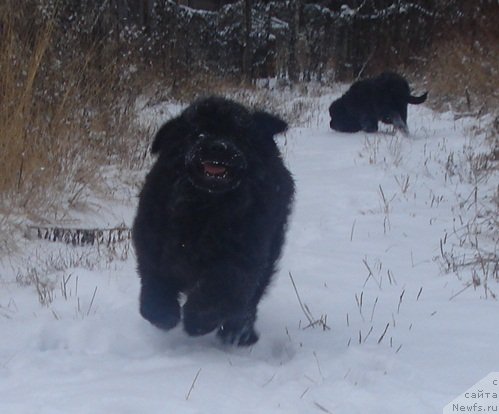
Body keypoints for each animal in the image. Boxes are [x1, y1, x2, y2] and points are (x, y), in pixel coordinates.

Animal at [134, 96, 296, 346]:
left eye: (237, 134)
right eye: (199, 132)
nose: (218, 147)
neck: (206, 205)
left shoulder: (242, 256)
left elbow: (221, 285)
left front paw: (198, 320)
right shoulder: (153, 244)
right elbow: (155, 282)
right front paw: (162, 314)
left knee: (249, 299)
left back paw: (238, 333)